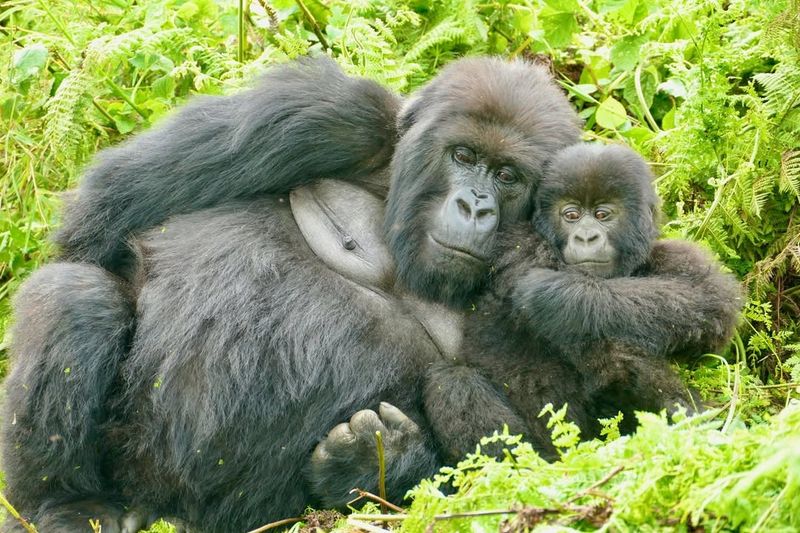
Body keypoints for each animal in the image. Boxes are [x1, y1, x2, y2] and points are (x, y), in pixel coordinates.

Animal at [424, 143, 736, 460]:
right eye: (571, 215)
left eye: (602, 214)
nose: (586, 237)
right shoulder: (521, 244)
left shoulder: (676, 257)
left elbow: (711, 301)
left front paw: (553, 292)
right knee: (452, 382)